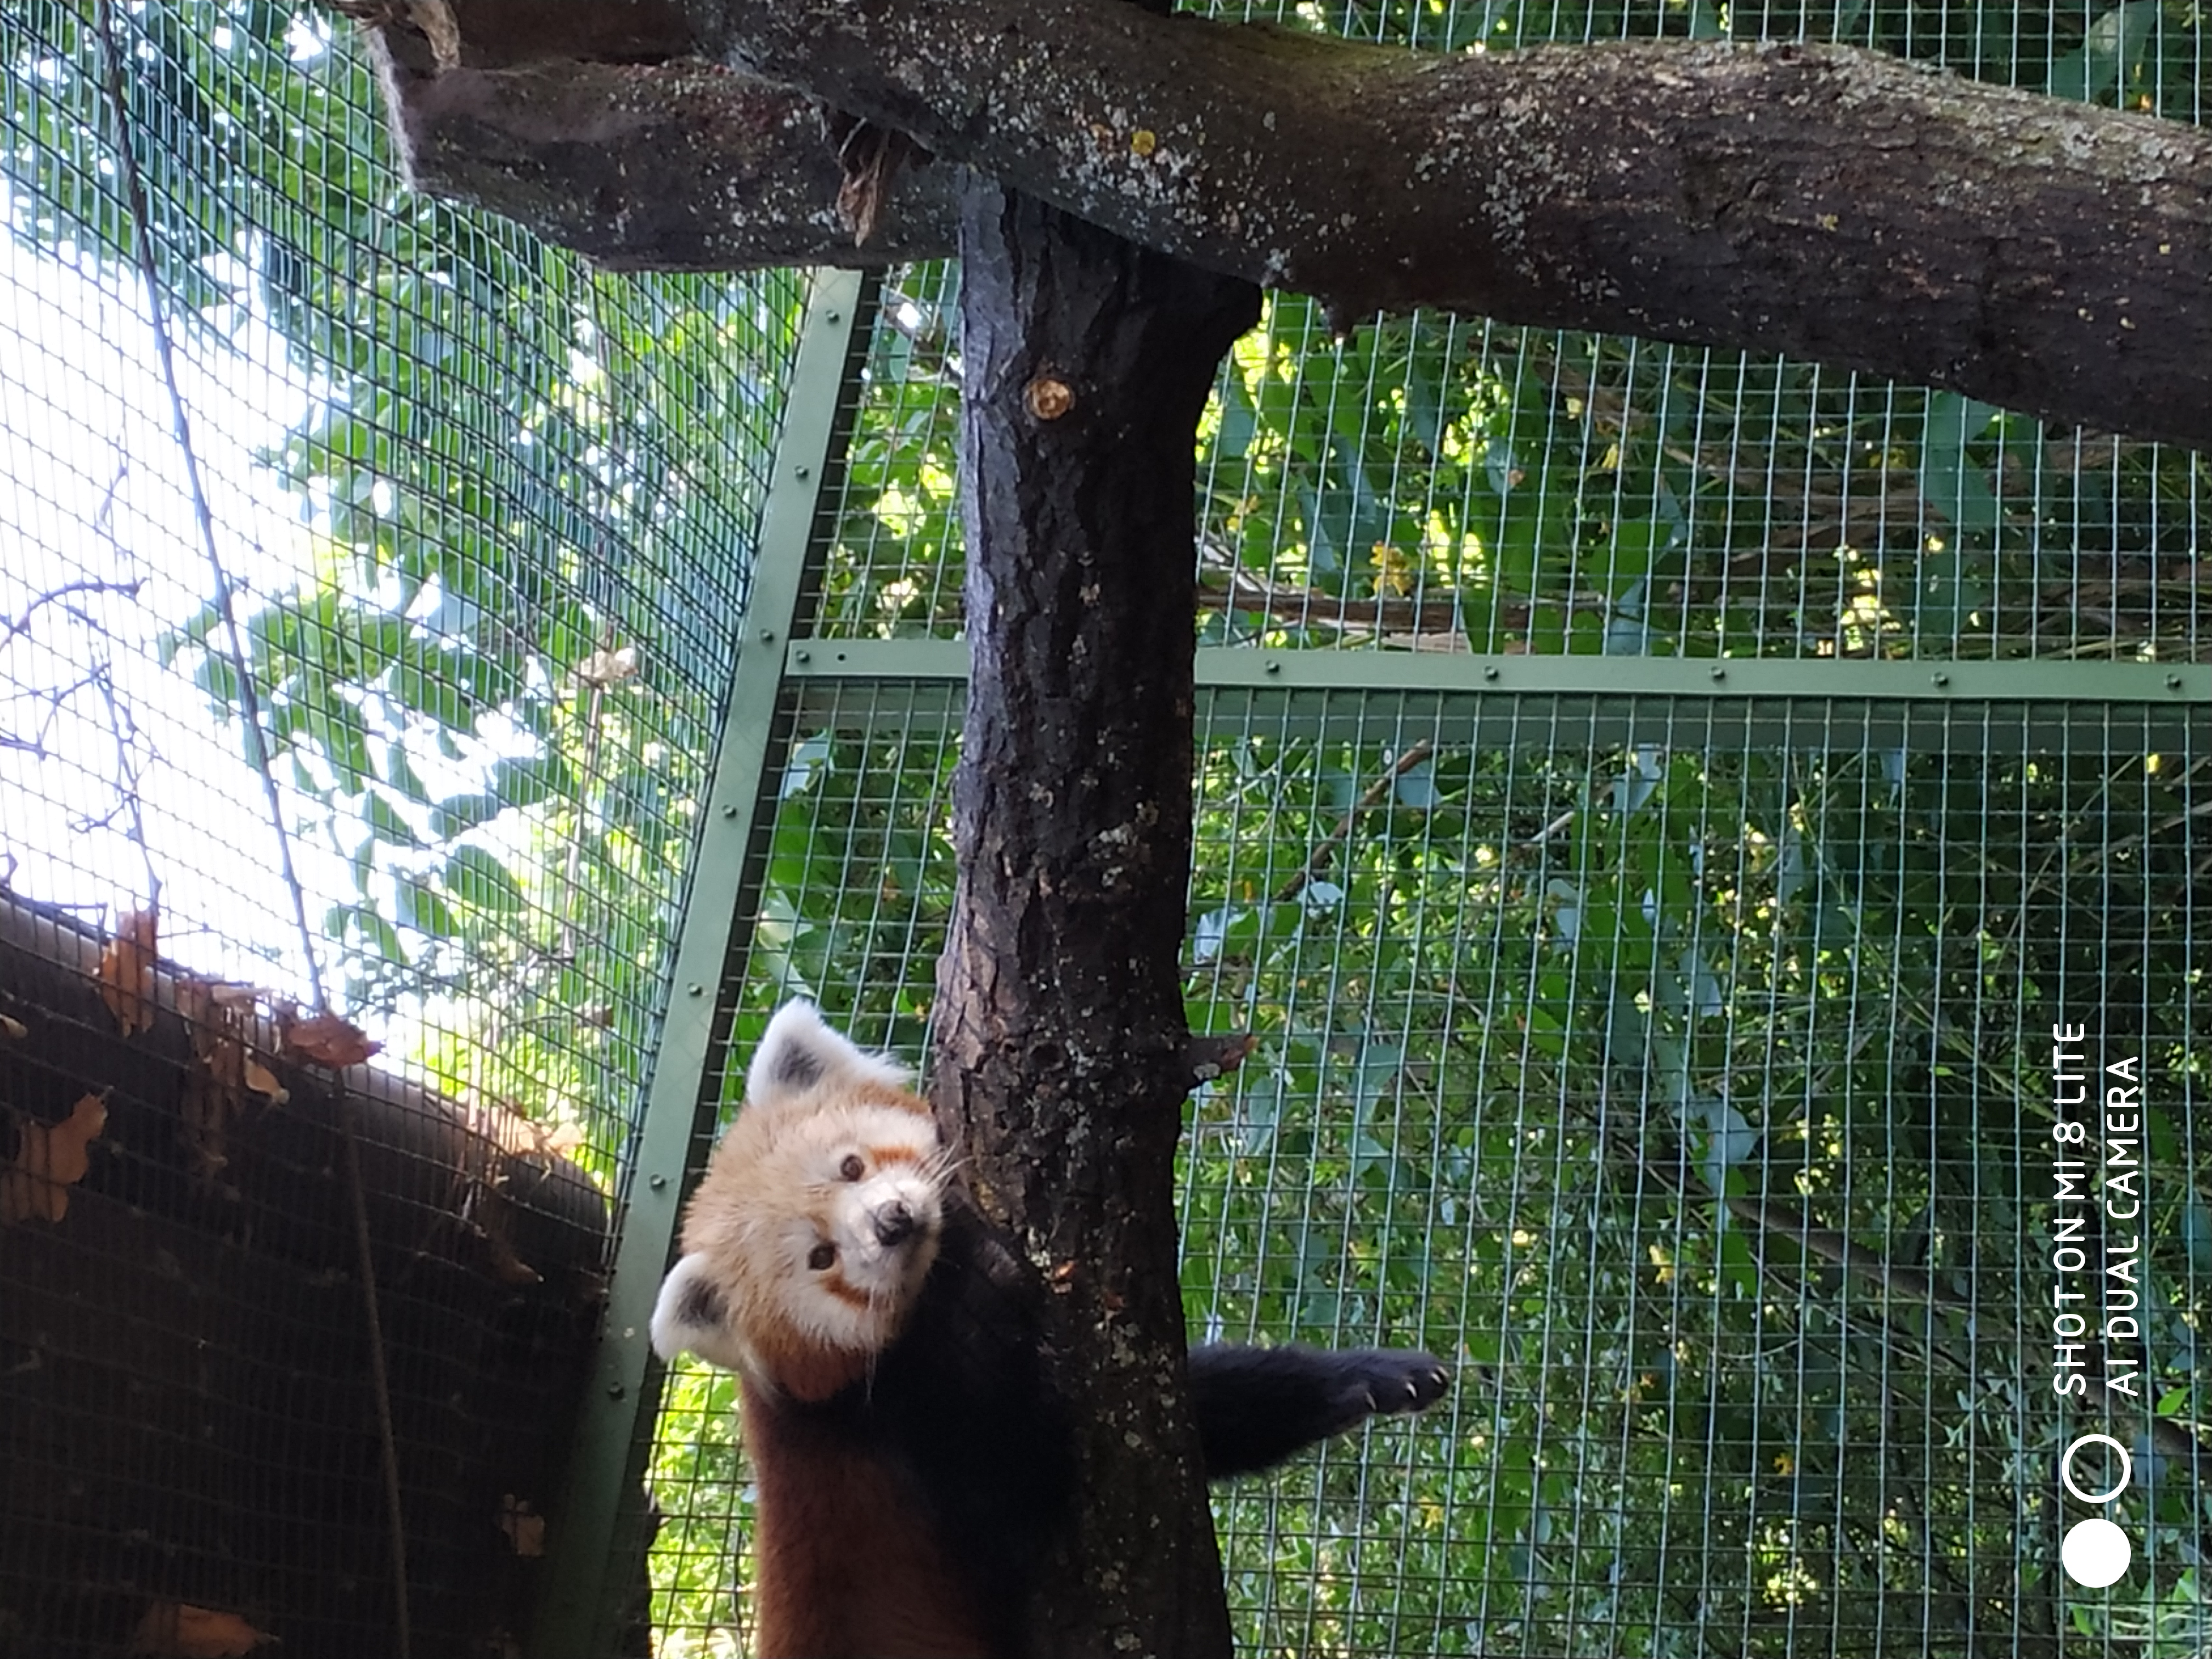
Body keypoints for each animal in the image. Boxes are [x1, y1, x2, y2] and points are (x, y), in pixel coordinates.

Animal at [651, 1000, 1448, 1657]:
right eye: (822, 1258)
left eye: (852, 1166)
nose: (893, 1223)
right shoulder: (900, 1430)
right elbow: (1025, 1488)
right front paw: (985, 1278)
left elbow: (1204, 1413)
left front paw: (1375, 1379)